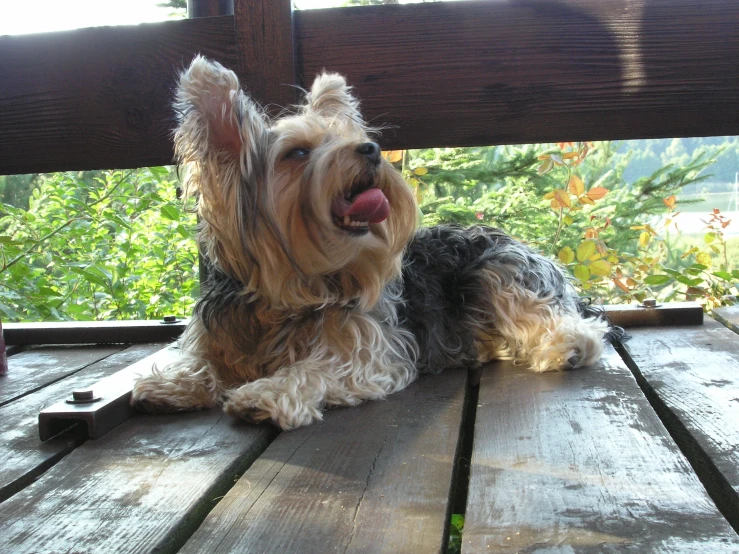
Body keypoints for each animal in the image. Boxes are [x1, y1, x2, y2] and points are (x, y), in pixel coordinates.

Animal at [132, 55, 612, 426]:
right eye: (297, 153)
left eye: (352, 139)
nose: (371, 150)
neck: (287, 293)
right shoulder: (216, 333)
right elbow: (200, 361)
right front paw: (172, 383)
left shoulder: (366, 351)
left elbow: (315, 368)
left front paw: (265, 394)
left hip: (501, 272)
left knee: (576, 327)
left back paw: (566, 347)